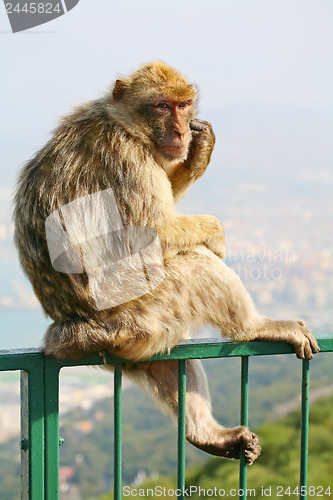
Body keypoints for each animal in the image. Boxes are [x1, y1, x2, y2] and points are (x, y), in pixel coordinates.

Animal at [14, 61, 318, 464]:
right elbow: (158, 230)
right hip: (140, 308)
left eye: (183, 105)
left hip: (134, 335)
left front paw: (200, 151)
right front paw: (217, 233)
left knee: (164, 359)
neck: (124, 122)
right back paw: (254, 327)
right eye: (162, 105)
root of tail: (75, 326)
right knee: (195, 262)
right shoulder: (128, 157)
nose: (180, 131)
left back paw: (206, 435)